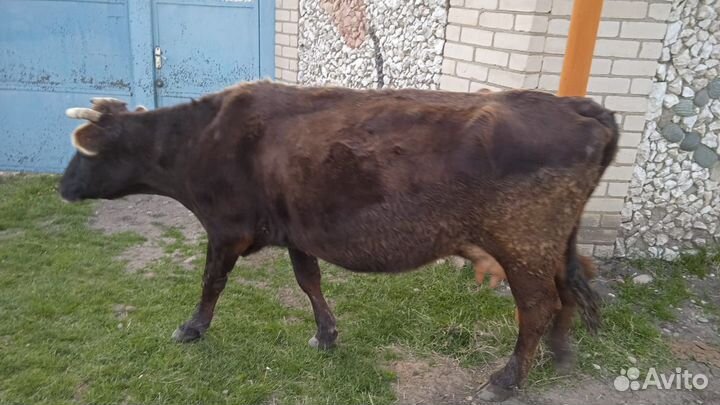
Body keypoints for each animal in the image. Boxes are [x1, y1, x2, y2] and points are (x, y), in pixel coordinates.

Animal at [60, 81, 617, 401]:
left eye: (82, 152)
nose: (62, 187)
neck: (200, 139)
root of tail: (579, 107)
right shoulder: (296, 229)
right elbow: (309, 281)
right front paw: (326, 335)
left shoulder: (227, 228)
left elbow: (212, 282)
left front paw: (192, 328)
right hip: (550, 245)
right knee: (569, 290)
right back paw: (560, 355)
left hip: (522, 243)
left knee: (539, 305)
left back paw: (506, 380)